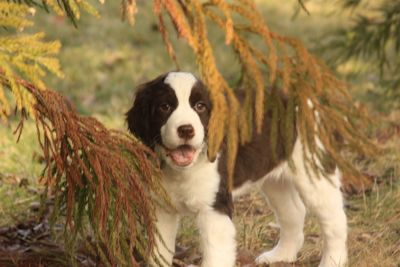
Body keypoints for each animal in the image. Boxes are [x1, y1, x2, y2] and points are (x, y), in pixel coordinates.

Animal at [126, 71, 346, 267]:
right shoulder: (162, 208)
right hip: (276, 182)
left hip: (315, 176)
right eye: (164, 107)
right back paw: (281, 255)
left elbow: (215, 257)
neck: (183, 170)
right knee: (293, 212)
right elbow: (159, 254)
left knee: (335, 223)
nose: (186, 130)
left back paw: (333, 261)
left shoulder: (215, 211)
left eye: (200, 107)